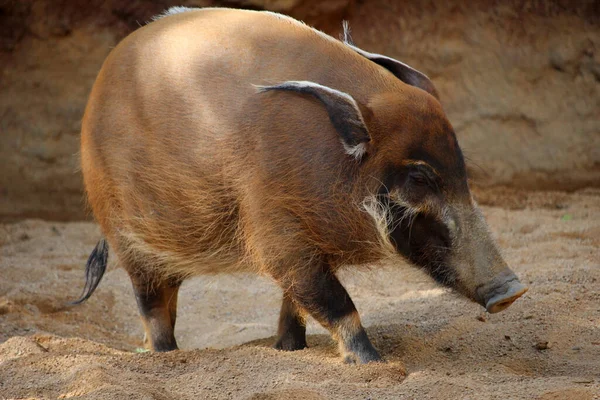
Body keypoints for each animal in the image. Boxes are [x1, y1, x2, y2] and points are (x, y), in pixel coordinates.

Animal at [76, 7, 528, 362]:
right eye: (418, 177)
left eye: (460, 167)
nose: (512, 290)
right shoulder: (279, 235)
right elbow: (332, 301)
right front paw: (372, 362)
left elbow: (296, 303)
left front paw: (290, 351)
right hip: (128, 243)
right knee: (153, 310)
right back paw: (166, 357)